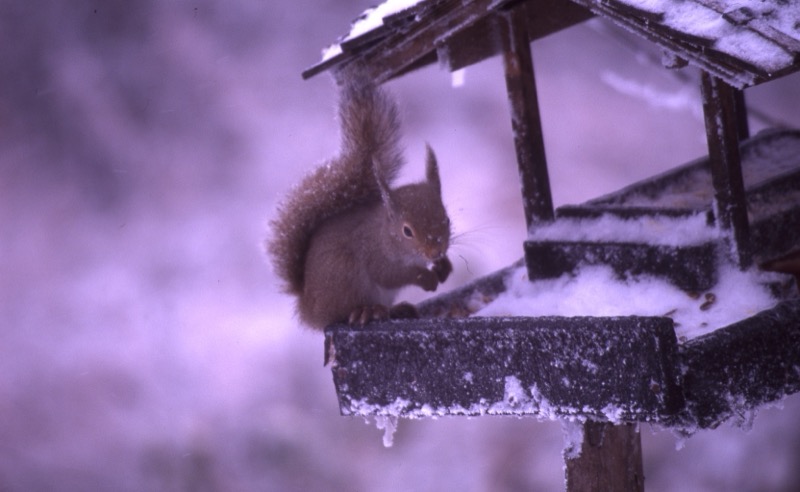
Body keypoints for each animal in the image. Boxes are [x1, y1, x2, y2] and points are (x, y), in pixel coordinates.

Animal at [268, 78, 454, 330]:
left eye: (447, 219)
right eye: (407, 231)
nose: (436, 251)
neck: (385, 234)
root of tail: (309, 308)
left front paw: (444, 267)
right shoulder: (374, 253)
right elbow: (391, 275)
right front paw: (425, 277)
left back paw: (396, 309)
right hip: (345, 277)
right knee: (342, 313)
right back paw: (367, 311)